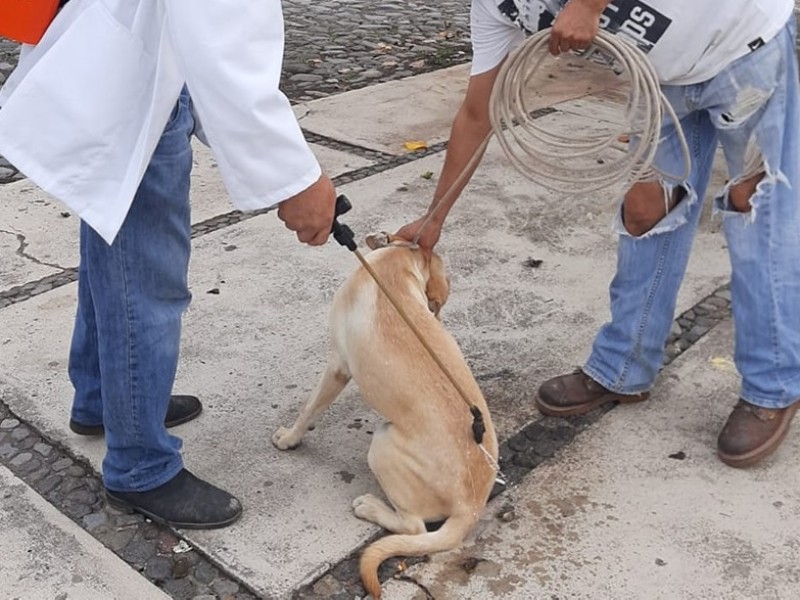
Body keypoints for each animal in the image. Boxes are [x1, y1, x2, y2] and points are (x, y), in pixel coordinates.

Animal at [272, 232, 496, 596]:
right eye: (434, 305)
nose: (437, 319)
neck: (399, 261)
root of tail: (472, 508)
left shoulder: (337, 366)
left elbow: (309, 408)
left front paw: (290, 438)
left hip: (381, 446)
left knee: (415, 527)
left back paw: (371, 507)